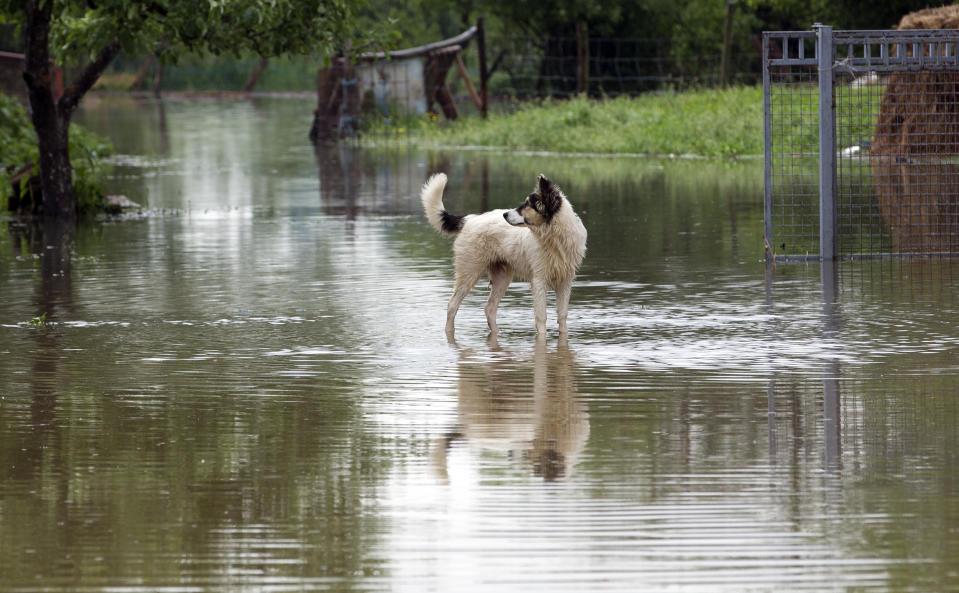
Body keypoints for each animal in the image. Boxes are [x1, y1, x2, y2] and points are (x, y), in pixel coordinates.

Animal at [424, 173, 588, 336]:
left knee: (489, 308)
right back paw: (449, 332)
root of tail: (469, 219)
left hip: (501, 277)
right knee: (452, 305)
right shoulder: (539, 281)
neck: (554, 238)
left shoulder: (565, 282)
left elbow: (563, 316)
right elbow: (541, 317)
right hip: (469, 272)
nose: (505, 214)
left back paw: (497, 332)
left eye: (528, 204)